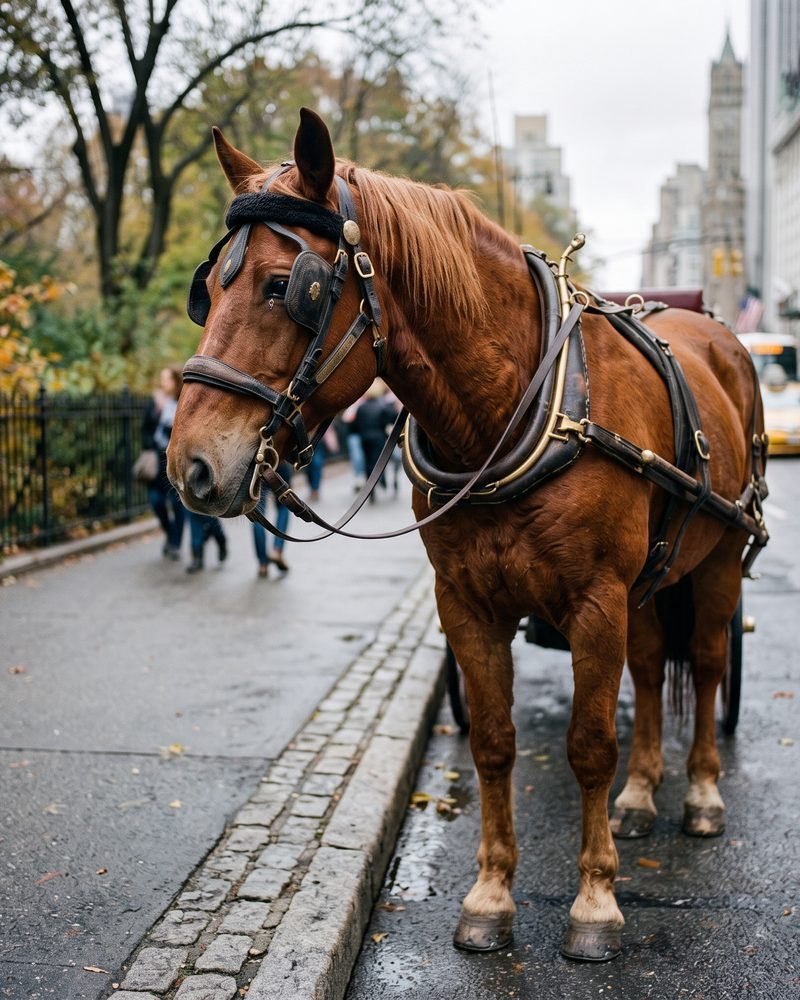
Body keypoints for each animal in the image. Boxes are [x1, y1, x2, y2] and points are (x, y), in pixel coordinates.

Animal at [167, 108, 768, 962]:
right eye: (208, 288)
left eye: (287, 287)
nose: (192, 465)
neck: (514, 405)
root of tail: (710, 333)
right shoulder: (467, 602)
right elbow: (491, 741)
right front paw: (490, 895)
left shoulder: (596, 602)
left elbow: (589, 743)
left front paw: (595, 903)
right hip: (652, 580)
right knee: (654, 670)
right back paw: (642, 793)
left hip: (715, 560)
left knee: (710, 663)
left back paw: (704, 794)